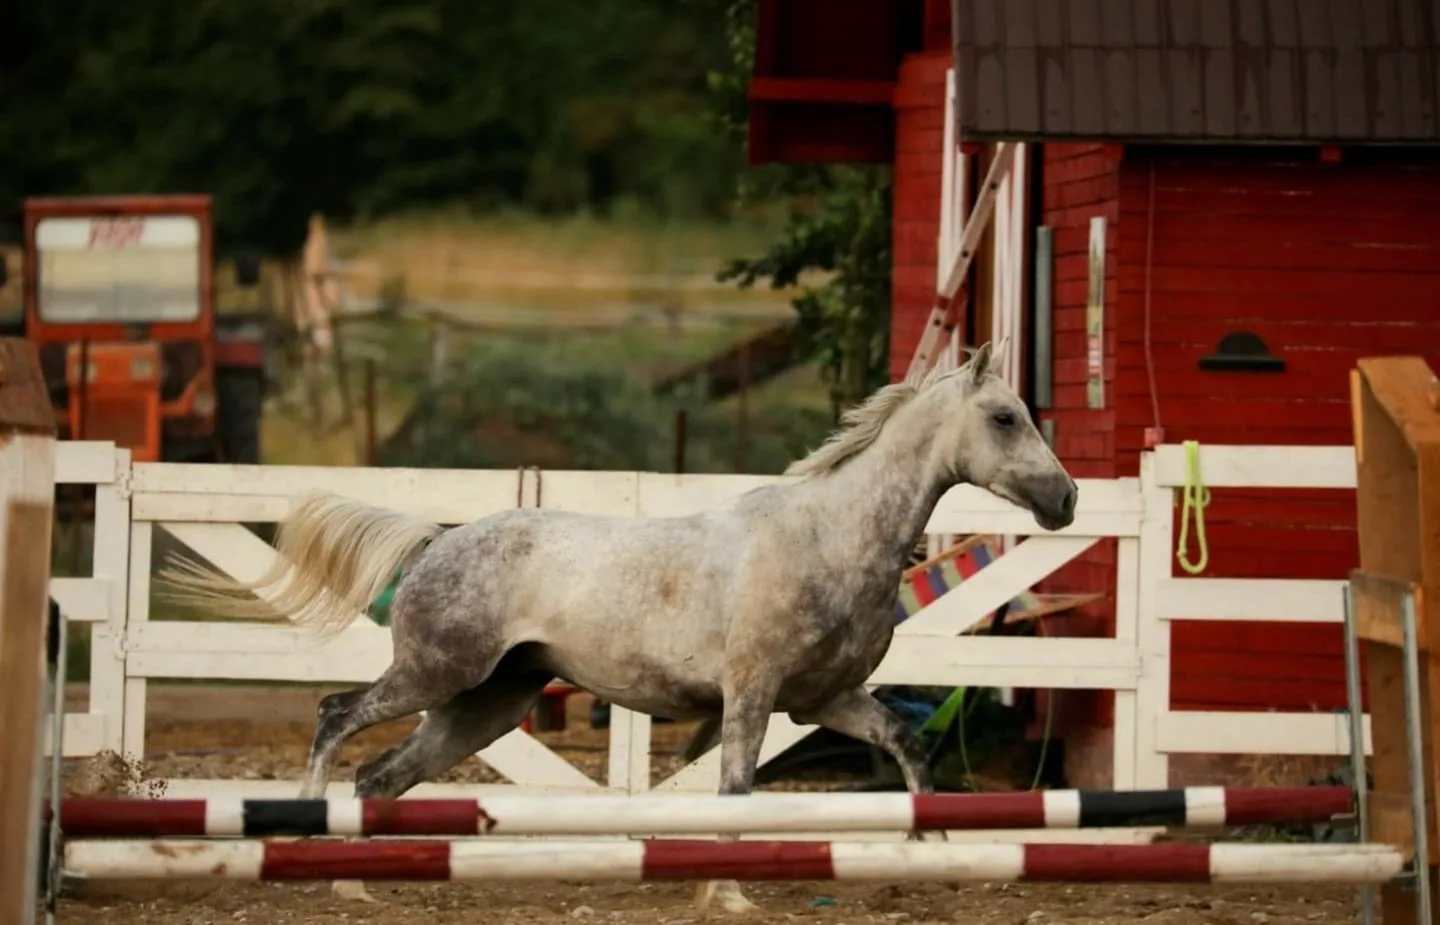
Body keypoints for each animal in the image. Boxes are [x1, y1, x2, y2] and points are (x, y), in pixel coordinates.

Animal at [158, 340, 1077, 914]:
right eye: (1004, 416)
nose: (1065, 499)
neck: (830, 534)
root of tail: (437, 539)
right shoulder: (752, 694)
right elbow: (734, 788)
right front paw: (728, 892)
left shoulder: (825, 700)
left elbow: (910, 747)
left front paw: (937, 845)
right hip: (435, 674)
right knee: (336, 717)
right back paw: (315, 855)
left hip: (486, 703)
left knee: (381, 774)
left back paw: (359, 883)